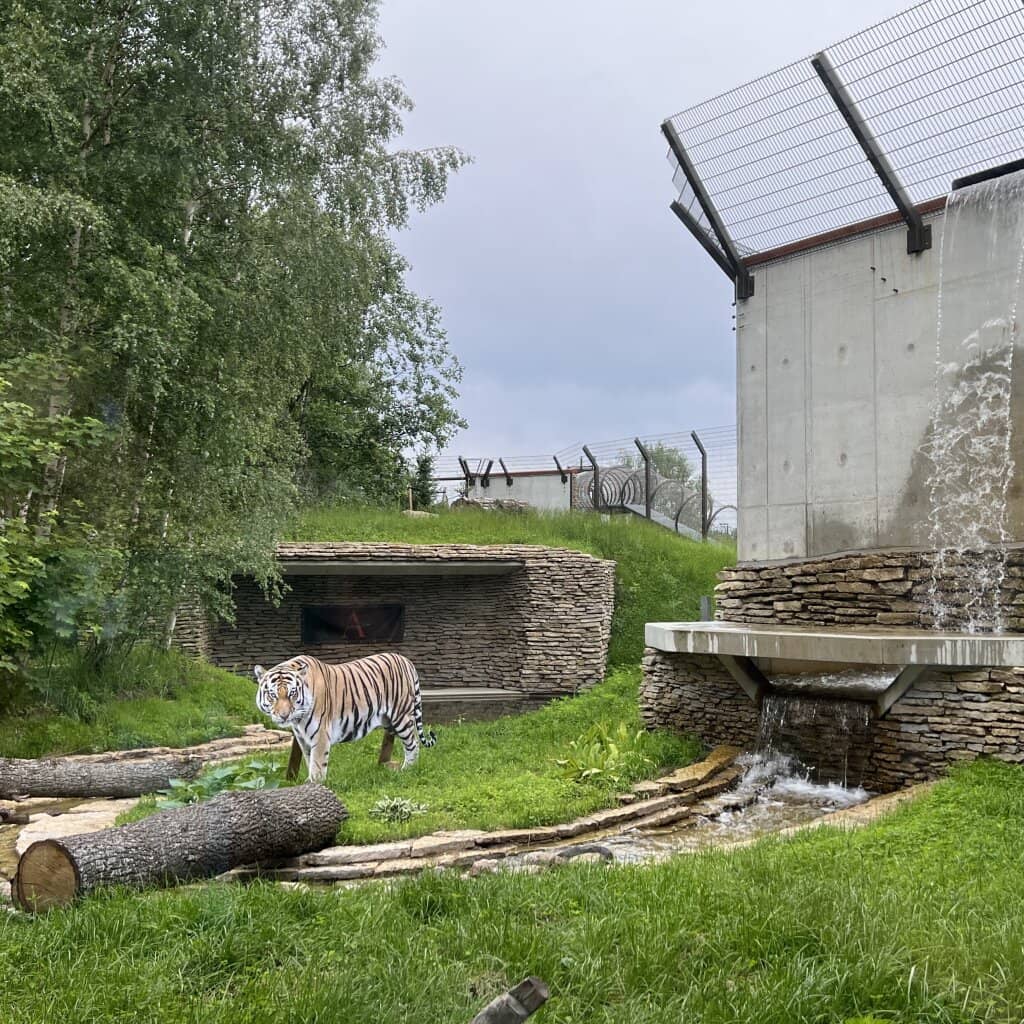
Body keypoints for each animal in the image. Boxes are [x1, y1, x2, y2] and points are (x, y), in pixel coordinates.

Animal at [253, 652, 436, 781]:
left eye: (292, 693)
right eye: (272, 695)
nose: (284, 716)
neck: (298, 719)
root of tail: (406, 660)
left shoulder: (320, 734)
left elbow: (318, 764)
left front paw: (315, 785)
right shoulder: (303, 738)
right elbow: (309, 759)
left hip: (401, 716)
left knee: (413, 743)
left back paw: (407, 771)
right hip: (388, 720)